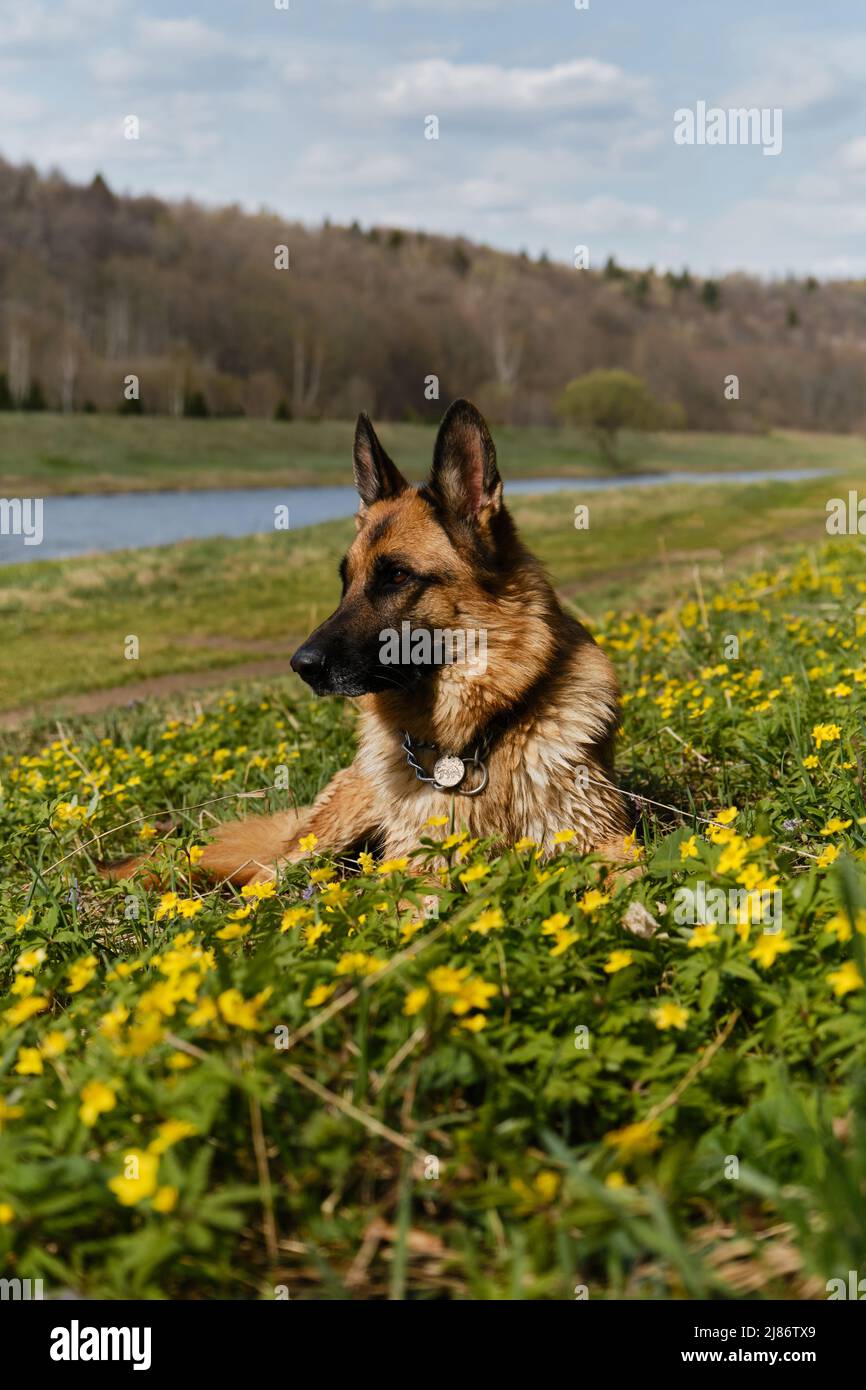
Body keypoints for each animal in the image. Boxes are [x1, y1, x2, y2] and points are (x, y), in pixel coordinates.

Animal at [113, 397, 631, 884]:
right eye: (346, 581)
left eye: (396, 577)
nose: (301, 666)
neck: (475, 739)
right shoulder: (418, 866)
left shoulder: (609, 842)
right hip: (326, 834)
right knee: (265, 880)